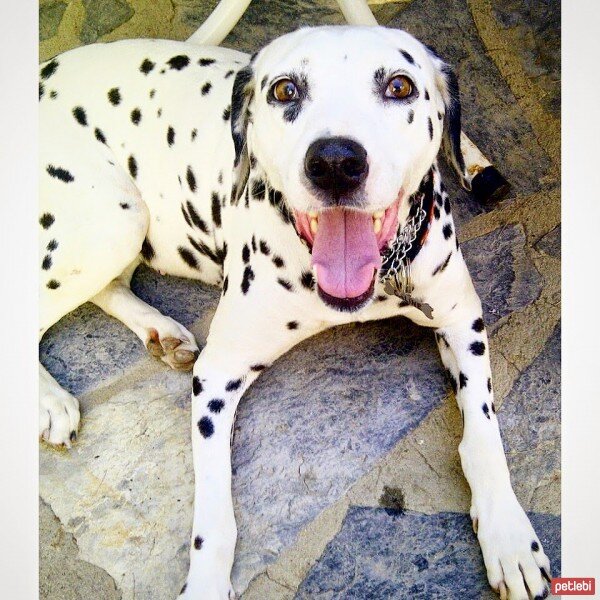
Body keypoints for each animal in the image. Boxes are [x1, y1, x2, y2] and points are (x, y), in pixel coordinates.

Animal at [39, 24, 552, 600]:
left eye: (399, 86)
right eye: (285, 90)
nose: (335, 162)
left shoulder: (464, 321)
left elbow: (484, 430)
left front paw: (508, 533)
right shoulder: (215, 377)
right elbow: (213, 514)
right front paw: (207, 582)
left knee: (107, 288)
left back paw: (160, 331)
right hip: (114, 220)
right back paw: (52, 400)